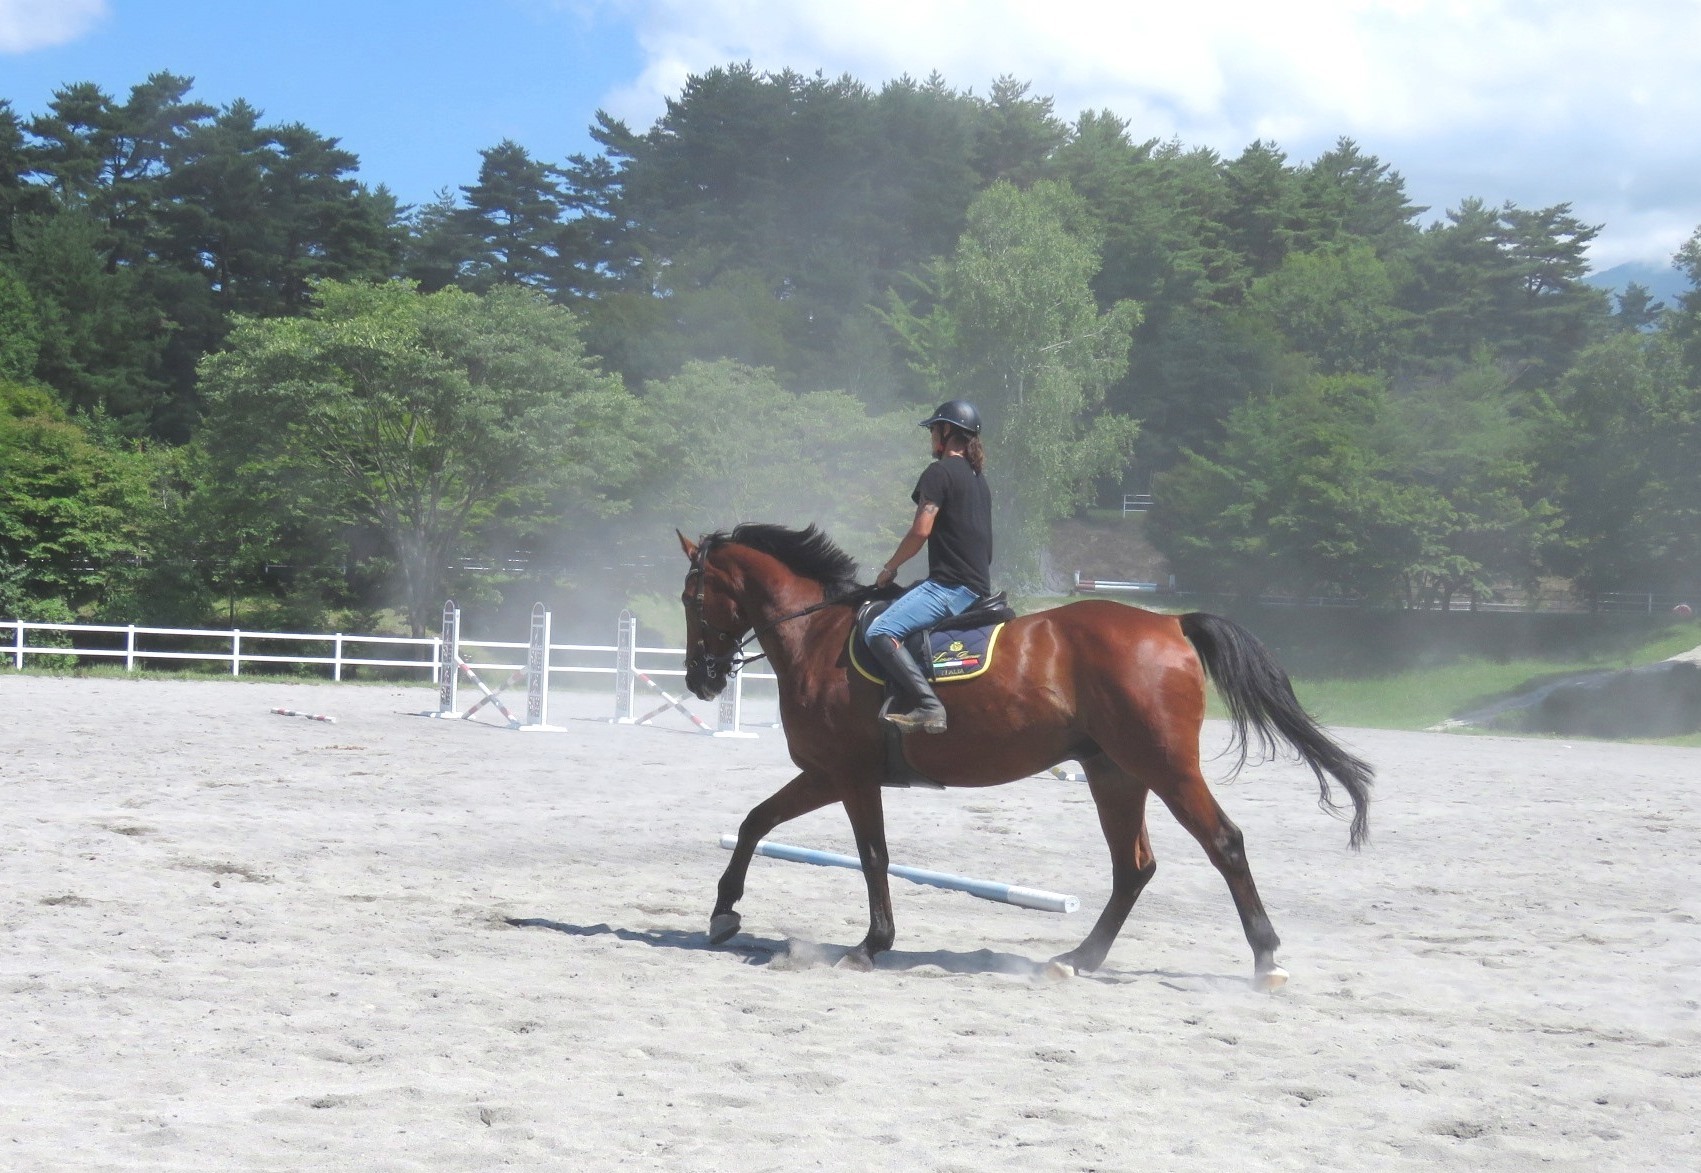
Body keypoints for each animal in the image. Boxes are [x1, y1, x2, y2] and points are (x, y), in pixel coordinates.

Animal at [676, 527, 1367, 979]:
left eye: (690, 598)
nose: (700, 680)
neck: (816, 635)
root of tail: (1169, 623)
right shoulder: (825, 774)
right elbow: (755, 822)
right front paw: (724, 914)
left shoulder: (848, 775)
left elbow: (872, 856)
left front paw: (870, 945)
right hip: (1115, 773)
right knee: (1133, 867)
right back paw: (1077, 960)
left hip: (1165, 767)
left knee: (1222, 842)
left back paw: (1266, 957)